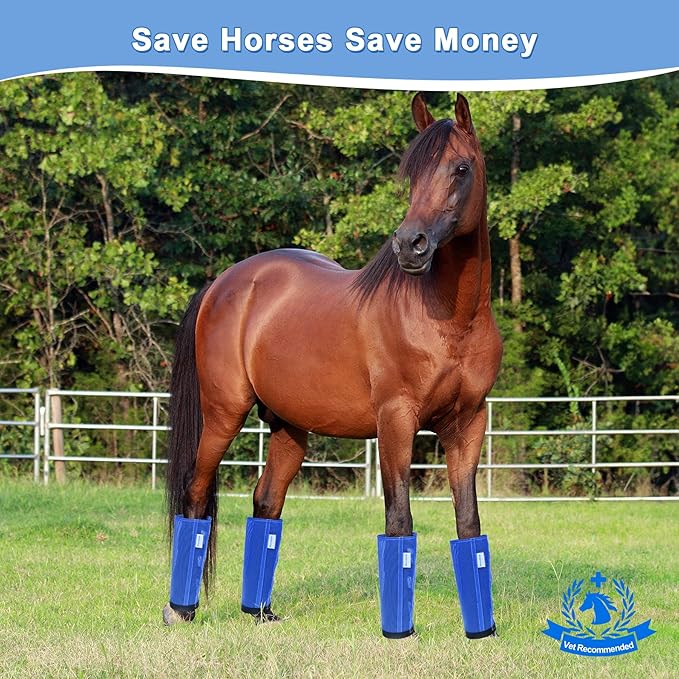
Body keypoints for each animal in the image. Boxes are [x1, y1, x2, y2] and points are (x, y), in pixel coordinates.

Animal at [163, 93, 503, 638]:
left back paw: (260, 613)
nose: (410, 245)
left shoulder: (468, 423)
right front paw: (399, 634)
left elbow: (469, 527)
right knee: (195, 496)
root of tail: (223, 283)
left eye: (461, 168)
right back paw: (181, 609)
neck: (451, 319)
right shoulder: (396, 421)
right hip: (223, 414)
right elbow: (399, 522)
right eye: (412, 173)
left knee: (266, 503)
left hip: (288, 427)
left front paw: (481, 632)